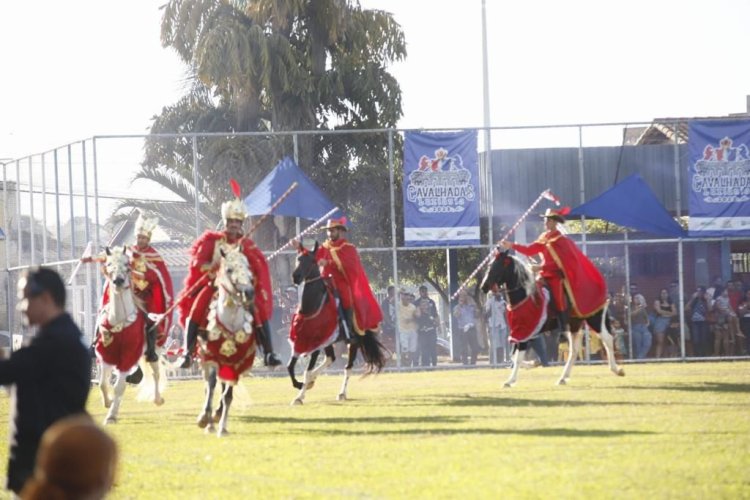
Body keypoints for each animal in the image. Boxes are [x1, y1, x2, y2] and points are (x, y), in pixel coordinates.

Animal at [95, 244, 164, 424]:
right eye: (109, 264)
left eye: (127, 265)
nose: (118, 281)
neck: (120, 319)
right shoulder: (106, 355)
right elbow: (102, 383)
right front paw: (108, 402)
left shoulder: (128, 356)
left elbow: (119, 386)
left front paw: (111, 416)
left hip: (150, 352)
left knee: (155, 373)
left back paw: (158, 399)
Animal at [195, 246, 258, 438]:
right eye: (229, 269)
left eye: (248, 266)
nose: (248, 292)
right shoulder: (211, 357)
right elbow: (211, 387)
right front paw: (205, 419)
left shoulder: (235, 363)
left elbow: (227, 395)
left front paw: (222, 427)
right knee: (208, 386)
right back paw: (208, 421)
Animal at [288, 240, 390, 404]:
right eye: (298, 258)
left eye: (312, 260)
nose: (296, 277)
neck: (311, 307)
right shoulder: (301, 340)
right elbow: (290, 367)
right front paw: (300, 386)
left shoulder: (315, 344)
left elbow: (307, 371)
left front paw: (299, 396)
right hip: (329, 342)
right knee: (331, 358)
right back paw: (312, 382)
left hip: (353, 342)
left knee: (347, 367)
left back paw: (342, 393)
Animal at [482, 250, 624, 386]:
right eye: (490, 265)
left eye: (497, 266)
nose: (484, 287)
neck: (525, 296)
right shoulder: (520, 332)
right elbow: (513, 356)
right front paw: (532, 364)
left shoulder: (525, 332)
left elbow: (517, 358)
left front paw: (510, 381)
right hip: (574, 324)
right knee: (574, 350)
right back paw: (563, 377)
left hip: (595, 318)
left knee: (607, 339)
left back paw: (616, 369)